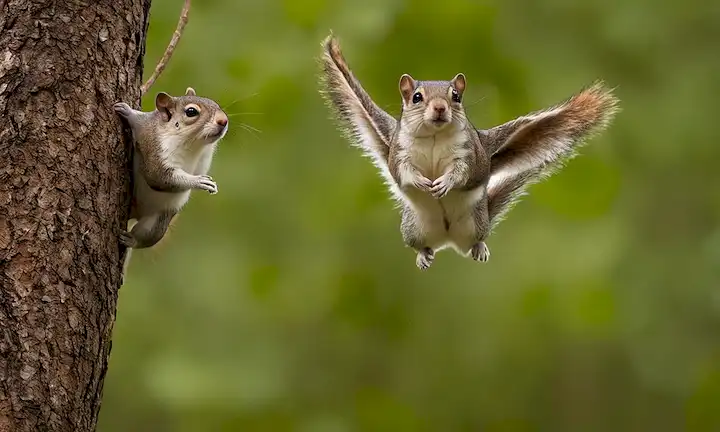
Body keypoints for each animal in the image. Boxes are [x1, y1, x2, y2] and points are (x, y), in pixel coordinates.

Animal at [113, 87, 229, 267]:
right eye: (191, 112)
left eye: (216, 104)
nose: (224, 120)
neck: (193, 143)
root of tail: (135, 212)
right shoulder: (153, 142)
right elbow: (158, 176)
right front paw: (199, 181)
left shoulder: (204, 159)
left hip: (156, 224)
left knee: (146, 237)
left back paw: (132, 239)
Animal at [318, 34, 619, 270]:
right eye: (416, 97)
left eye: (456, 96)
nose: (440, 108)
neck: (434, 136)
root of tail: (448, 239)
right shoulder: (399, 151)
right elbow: (402, 171)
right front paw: (420, 182)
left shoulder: (470, 153)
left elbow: (463, 172)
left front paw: (445, 182)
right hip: (414, 228)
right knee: (421, 244)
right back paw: (423, 255)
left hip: (476, 222)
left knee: (476, 239)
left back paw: (479, 248)